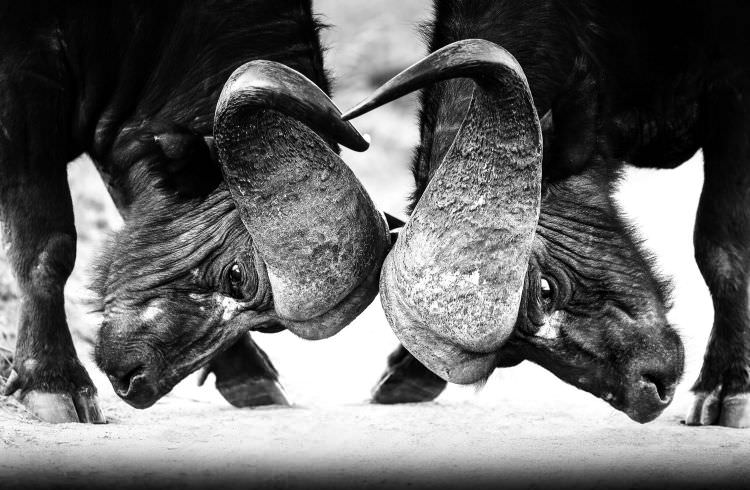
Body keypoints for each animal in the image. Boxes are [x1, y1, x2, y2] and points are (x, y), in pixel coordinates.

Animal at [0, 0, 388, 424]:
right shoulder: (23, 91)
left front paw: (248, 374)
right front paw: (52, 380)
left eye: (270, 327)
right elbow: (47, 248)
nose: (137, 383)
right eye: (236, 275)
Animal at [352, 0, 750, 426]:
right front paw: (407, 372)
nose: (646, 391)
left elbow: (721, 249)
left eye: (545, 289)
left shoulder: (735, 92)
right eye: (511, 357)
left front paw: (728, 386)